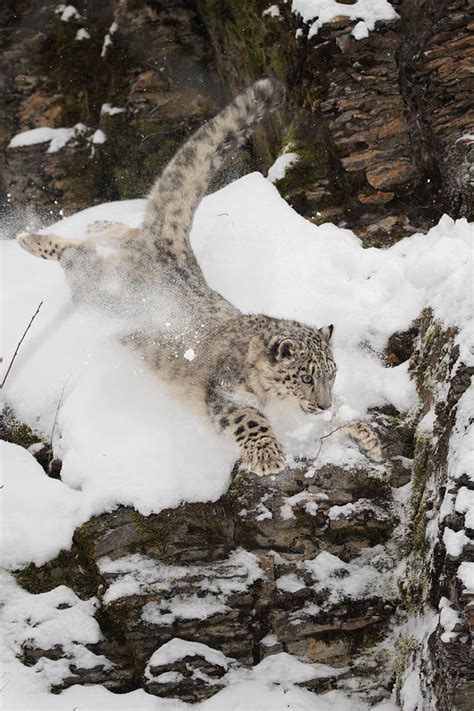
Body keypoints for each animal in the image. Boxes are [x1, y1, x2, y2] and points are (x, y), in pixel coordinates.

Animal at [16, 78, 386, 472]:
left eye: (333, 374)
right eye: (305, 376)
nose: (321, 403)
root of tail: (165, 243)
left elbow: (343, 416)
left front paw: (367, 437)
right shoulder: (222, 393)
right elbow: (250, 419)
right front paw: (269, 457)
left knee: (110, 232)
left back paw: (93, 223)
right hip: (93, 285)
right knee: (73, 253)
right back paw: (30, 239)